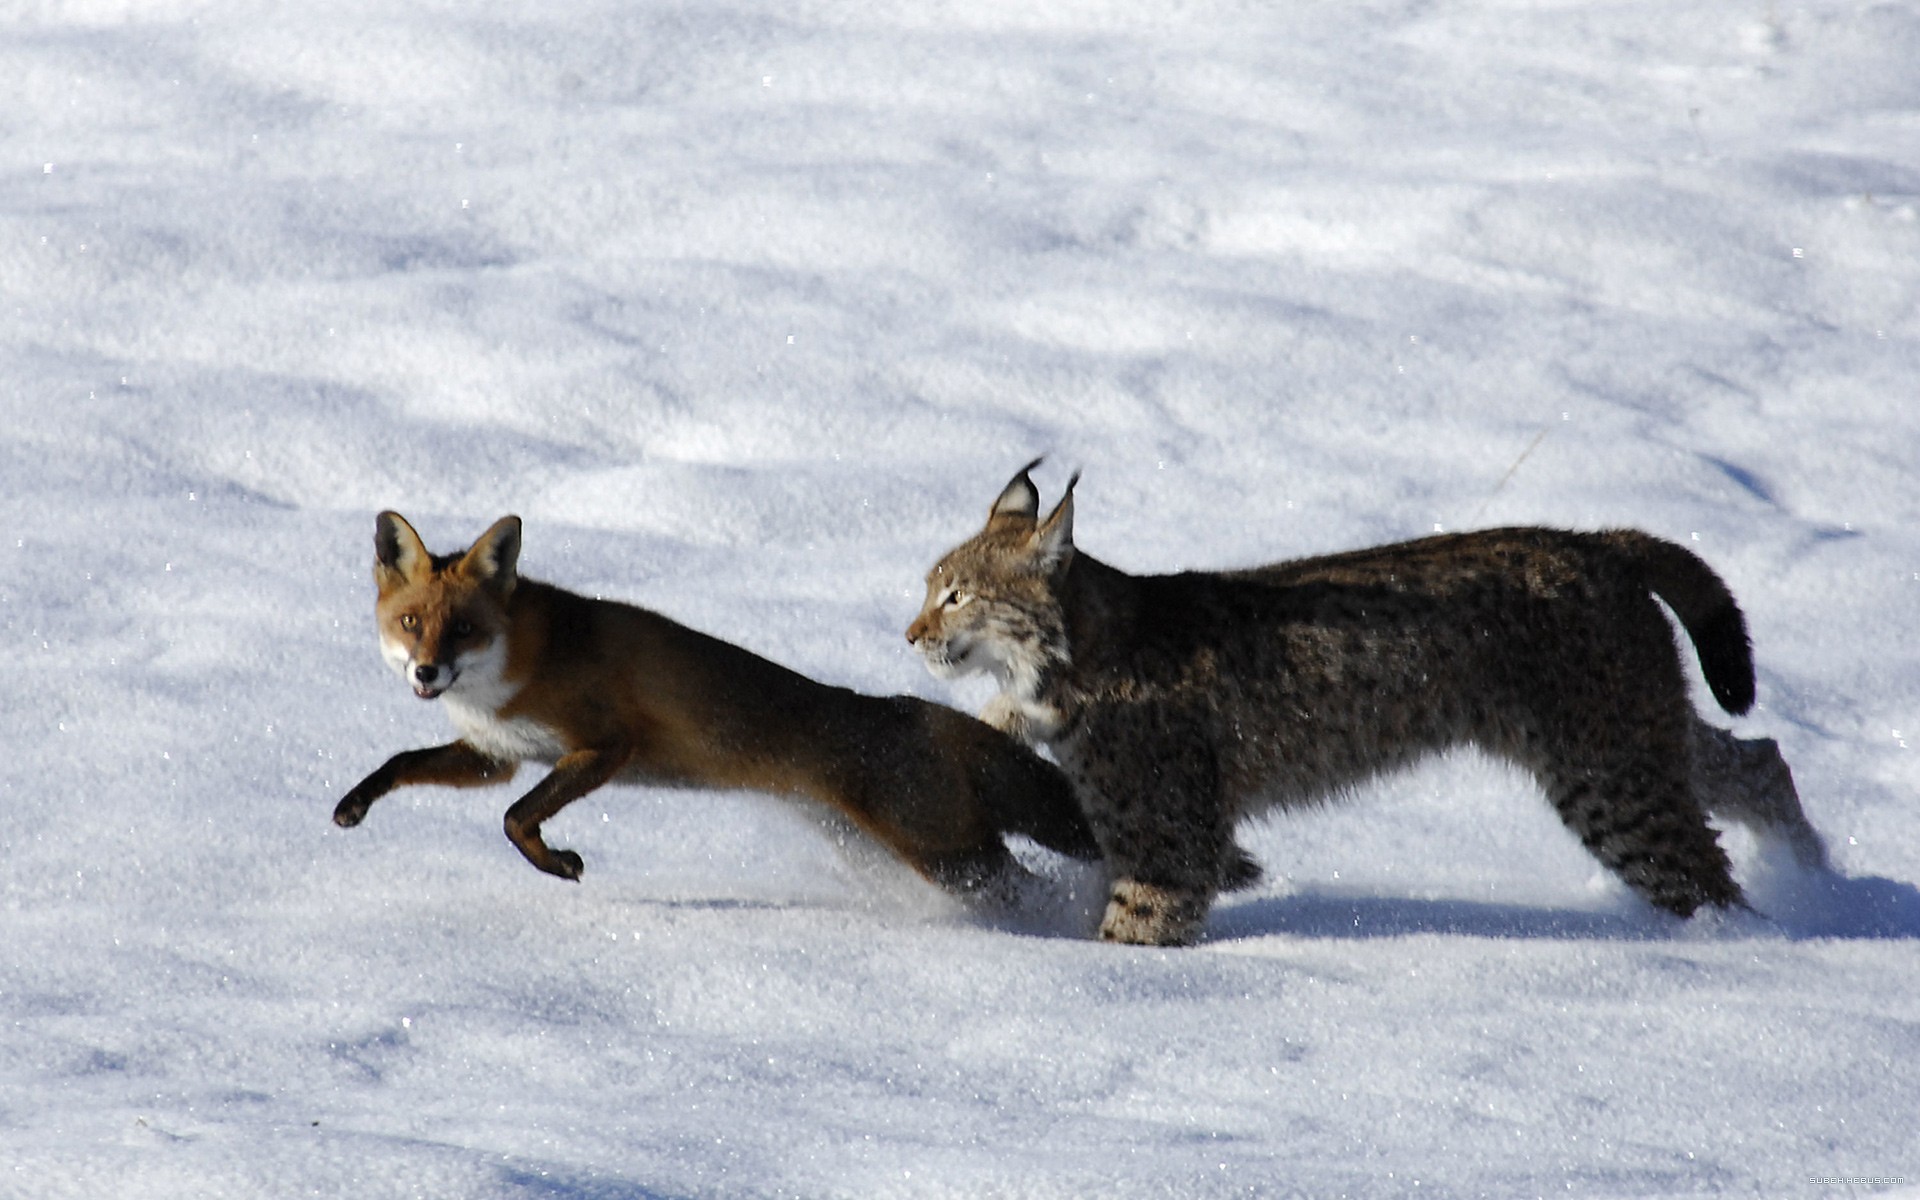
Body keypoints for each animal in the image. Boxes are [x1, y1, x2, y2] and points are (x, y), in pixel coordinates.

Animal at [337, 510, 1105, 894]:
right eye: (412, 623)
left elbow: (515, 818)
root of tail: (910, 710)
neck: (511, 673)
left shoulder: (606, 745)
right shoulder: (494, 754)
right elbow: (403, 762)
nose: (428, 672)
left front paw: (558, 863)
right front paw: (353, 804)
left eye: (464, 629)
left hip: (952, 859)